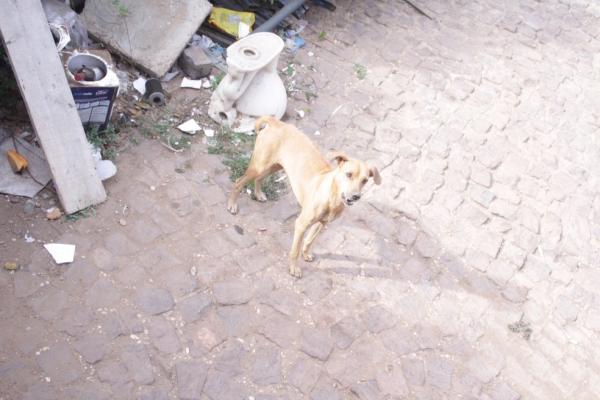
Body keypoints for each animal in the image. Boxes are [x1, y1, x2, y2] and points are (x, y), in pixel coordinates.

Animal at [227, 115, 382, 278]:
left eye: (365, 180)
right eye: (348, 174)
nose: (355, 196)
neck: (332, 197)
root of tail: (277, 122)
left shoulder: (322, 224)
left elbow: (310, 240)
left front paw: (306, 253)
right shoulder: (301, 224)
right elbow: (295, 250)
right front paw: (294, 268)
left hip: (275, 166)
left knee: (259, 179)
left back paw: (258, 194)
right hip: (259, 165)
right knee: (239, 182)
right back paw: (232, 205)